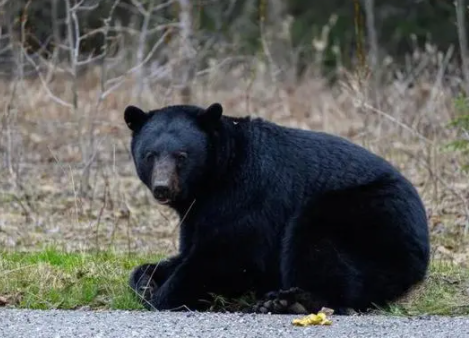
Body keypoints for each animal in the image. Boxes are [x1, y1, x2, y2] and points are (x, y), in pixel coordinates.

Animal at [123, 102, 428, 314]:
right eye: (150, 155)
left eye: (182, 156)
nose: (163, 187)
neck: (217, 176)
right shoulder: (196, 214)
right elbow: (187, 252)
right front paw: (146, 281)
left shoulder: (247, 196)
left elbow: (229, 256)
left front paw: (162, 297)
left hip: (365, 214)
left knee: (318, 246)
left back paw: (291, 301)